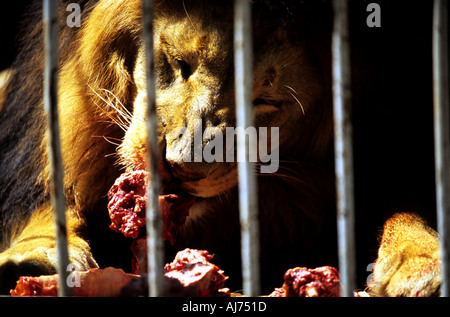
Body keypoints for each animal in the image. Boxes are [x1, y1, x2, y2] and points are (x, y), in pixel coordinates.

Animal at [0, 0, 442, 296]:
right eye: (179, 62)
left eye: (265, 101)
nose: (180, 168)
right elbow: (47, 204)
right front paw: (36, 256)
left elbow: (404, 204)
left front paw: (420, 262)